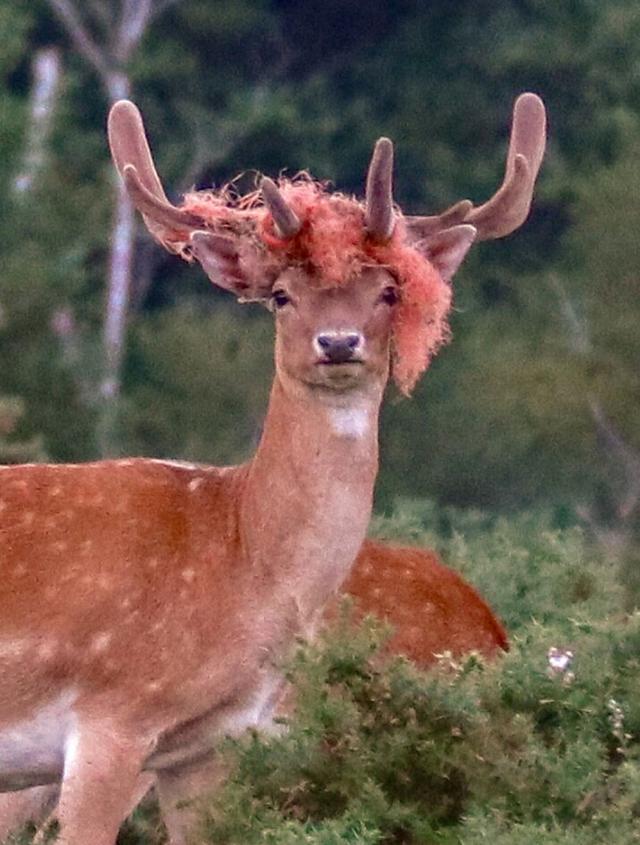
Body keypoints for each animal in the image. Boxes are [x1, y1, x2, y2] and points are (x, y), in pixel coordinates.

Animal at [0, 92, 544, 844]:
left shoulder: (204, 747)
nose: (338, 342)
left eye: (389, 291)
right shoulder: (113, 715)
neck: (238, 549)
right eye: (282, 295)